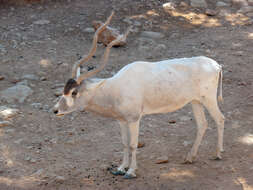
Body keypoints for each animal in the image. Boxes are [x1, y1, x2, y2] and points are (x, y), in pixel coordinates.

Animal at [53, 12, 225, 180]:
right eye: (64, 90)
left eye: (74, 92)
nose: (55, 110)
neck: (115, 88)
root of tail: (216, 65)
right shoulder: (121, 120)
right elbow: (124, 143)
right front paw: (120, 168)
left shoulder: (134, 119)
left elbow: (133, 144)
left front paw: (131, 171)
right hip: (196, 101)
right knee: (202, 124)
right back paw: (190, 157)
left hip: (209, 99)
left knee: (220, 119)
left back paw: (217, 154)